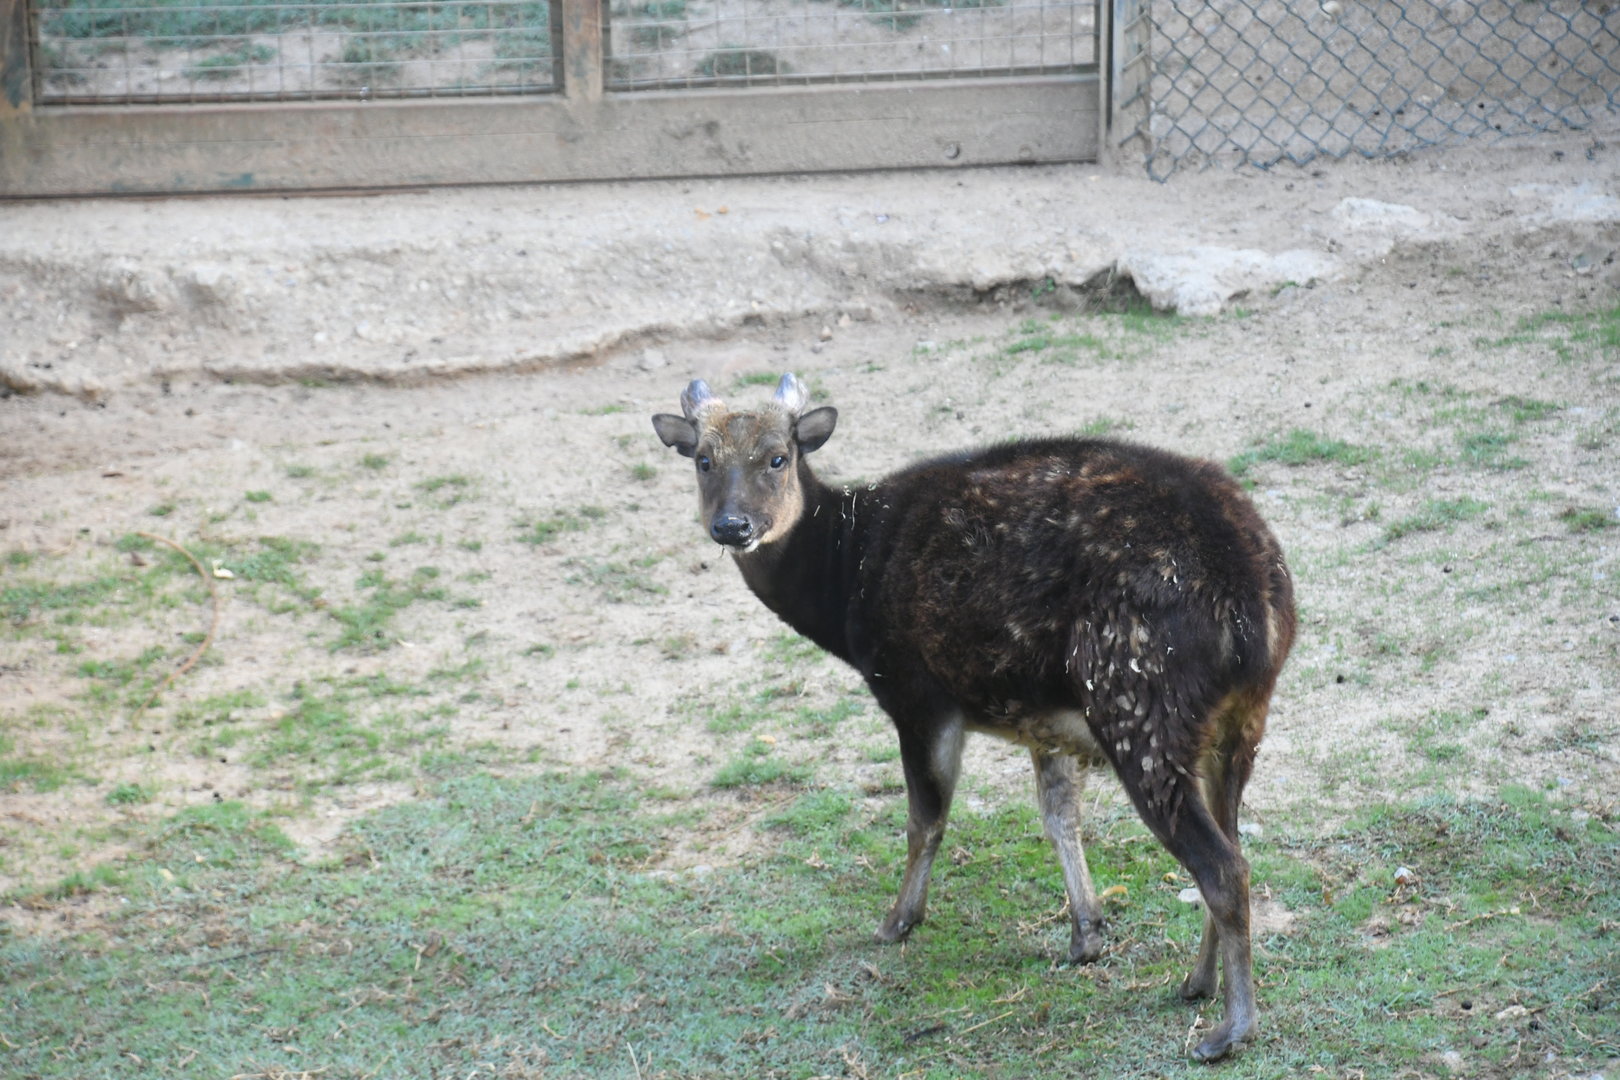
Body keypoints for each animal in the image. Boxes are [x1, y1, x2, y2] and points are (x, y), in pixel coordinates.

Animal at [651, 373, 1296, 1062]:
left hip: (1139, 708)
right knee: (1231, 843)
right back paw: (1196, 983)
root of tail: (1255, 611)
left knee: (1222, 865)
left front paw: (897, 921)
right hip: (1238, 724)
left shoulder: (914, 692)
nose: (732, 525)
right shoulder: (1045, 721)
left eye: (778, 456)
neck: (847, 577)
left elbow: (925, 820)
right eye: (703, 459)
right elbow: (1058, 816)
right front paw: (1086, 934)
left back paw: (1230, 1029)